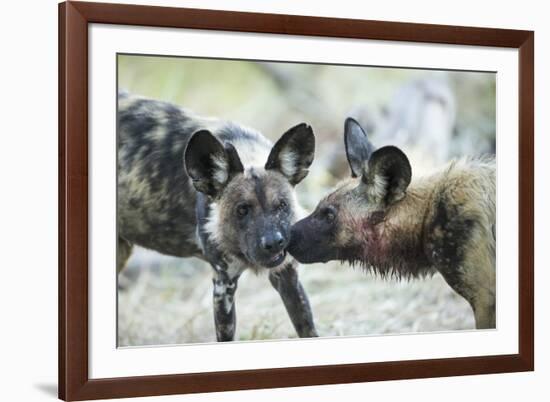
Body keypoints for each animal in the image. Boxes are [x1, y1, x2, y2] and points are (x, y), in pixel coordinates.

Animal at [119, 92, 322, 342]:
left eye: (282, 205)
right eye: (242, 210)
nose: (274, 243)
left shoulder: (287, 275)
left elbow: (307, 328)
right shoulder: (223, 286)